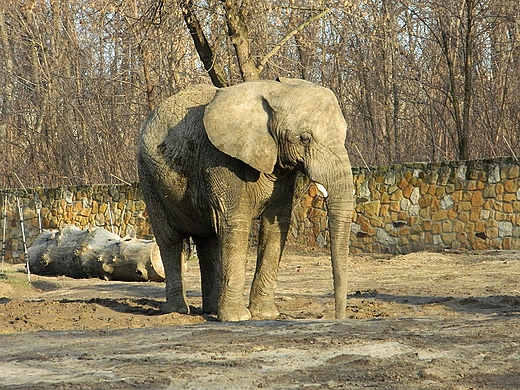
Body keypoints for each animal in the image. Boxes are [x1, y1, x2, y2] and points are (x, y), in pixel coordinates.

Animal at [136, 77, 356, 322]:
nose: (338, 317)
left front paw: (265, 315)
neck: (274, 90)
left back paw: (211, 310)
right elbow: (236, 223)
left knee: (207, 241)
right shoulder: (220, 158)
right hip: (149, 178)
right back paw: (177, 311)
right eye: (305, 138)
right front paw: (237, 318)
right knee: (169, 239)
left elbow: (276, 225)